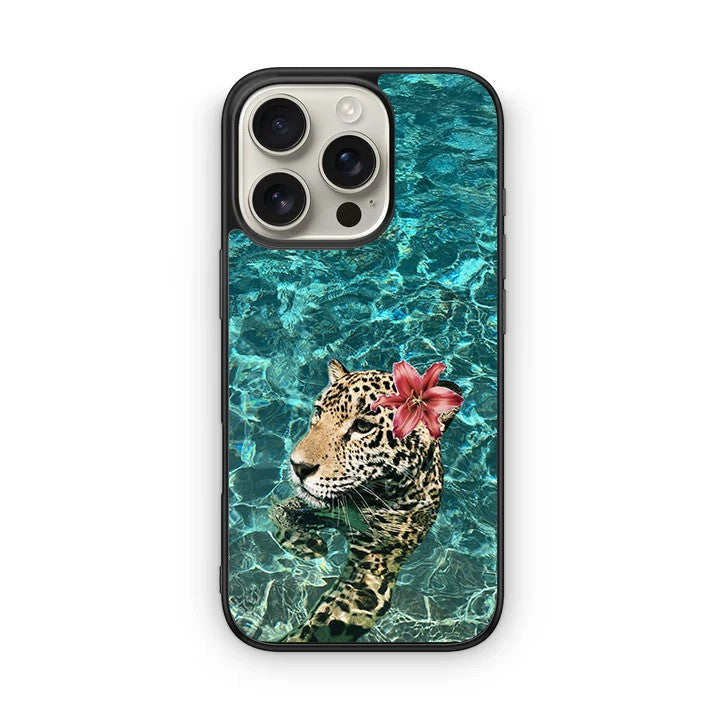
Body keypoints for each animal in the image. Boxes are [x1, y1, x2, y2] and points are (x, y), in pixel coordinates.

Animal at [269, 358, 462, 643]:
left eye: (362, 427)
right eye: (318, 412)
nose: (298, 466)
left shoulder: (373, 569)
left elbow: (319, 628)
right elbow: (278, 511)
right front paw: (311, 544)